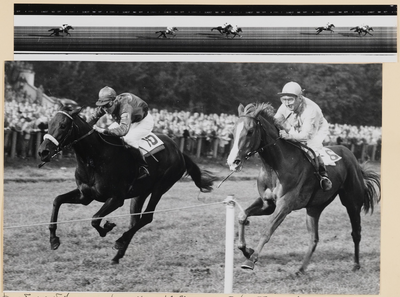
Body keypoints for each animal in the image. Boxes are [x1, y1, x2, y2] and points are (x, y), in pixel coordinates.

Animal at [39, 105, 217, 262]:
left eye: (63, 125)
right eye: (48, 124)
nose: (43, 152)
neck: (95, 157)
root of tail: (179, 151)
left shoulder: (116, 198)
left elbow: (95, 219)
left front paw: (106, 228)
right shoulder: (85, 196)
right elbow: (57, 200)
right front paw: (53, 239)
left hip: (160, 187)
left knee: (147, 217)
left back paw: (120, 240)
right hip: (140, 193)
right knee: (135, 220)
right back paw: (117, 256)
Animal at [228, 102, 382, 272]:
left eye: (250, 131)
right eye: (233, 131)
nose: (233, 161)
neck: (275, 166)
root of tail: (351, 155)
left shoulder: (284, 205)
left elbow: (267, 230)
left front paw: (251, 260)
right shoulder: (267, 204)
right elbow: (242, 216)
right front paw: (246, 250)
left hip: (352, 202)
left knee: (356, 232)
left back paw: (356, 264)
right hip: (314, 207)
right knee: (314, 238)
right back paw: (301, 269)